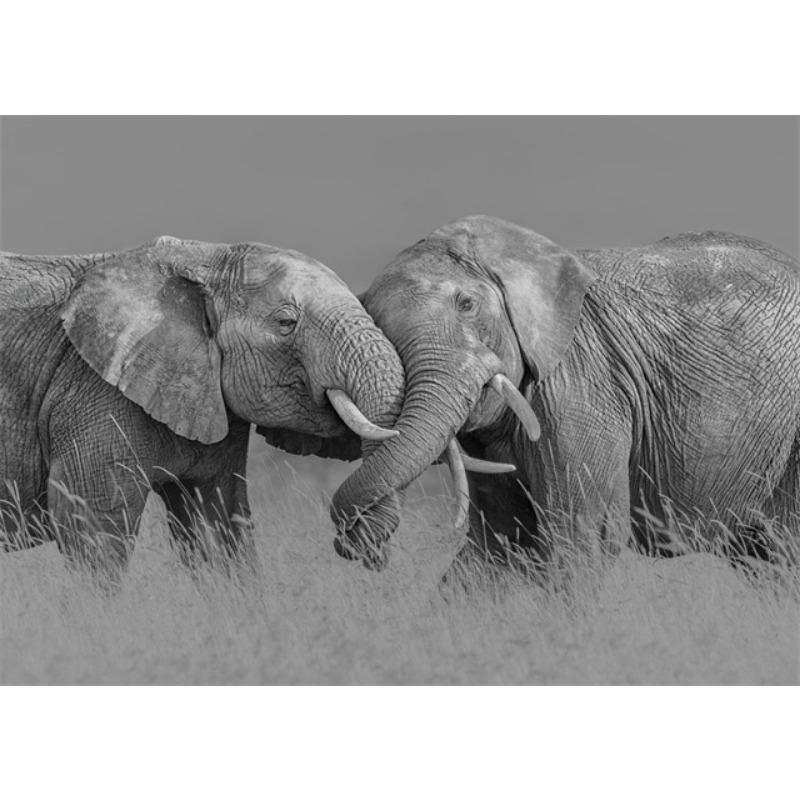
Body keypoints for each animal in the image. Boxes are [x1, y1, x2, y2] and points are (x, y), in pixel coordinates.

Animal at [0, 235, 404, 585]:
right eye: (286, 323)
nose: (362, 550)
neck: (204, 259)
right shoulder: (95, 390)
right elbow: (90, 521)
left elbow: (216, 523)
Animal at [329, 215, 800, 574]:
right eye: (376, 323)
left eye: (466, 305)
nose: (369, 552)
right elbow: (498, 543)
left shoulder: (581, 382)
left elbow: (580, 538)